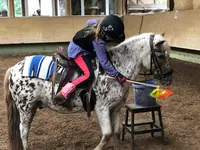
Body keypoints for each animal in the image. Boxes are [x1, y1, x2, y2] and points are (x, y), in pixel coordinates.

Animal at [3, 33, 173, 150]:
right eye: (160, 55)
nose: (169, 77)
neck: (114, 69)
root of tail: (14, 68)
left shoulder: (115, 109)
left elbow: (116, 133)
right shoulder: (102, 108)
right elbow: (107, 134)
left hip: (31, 108)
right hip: (25, 107)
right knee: (23, 131)